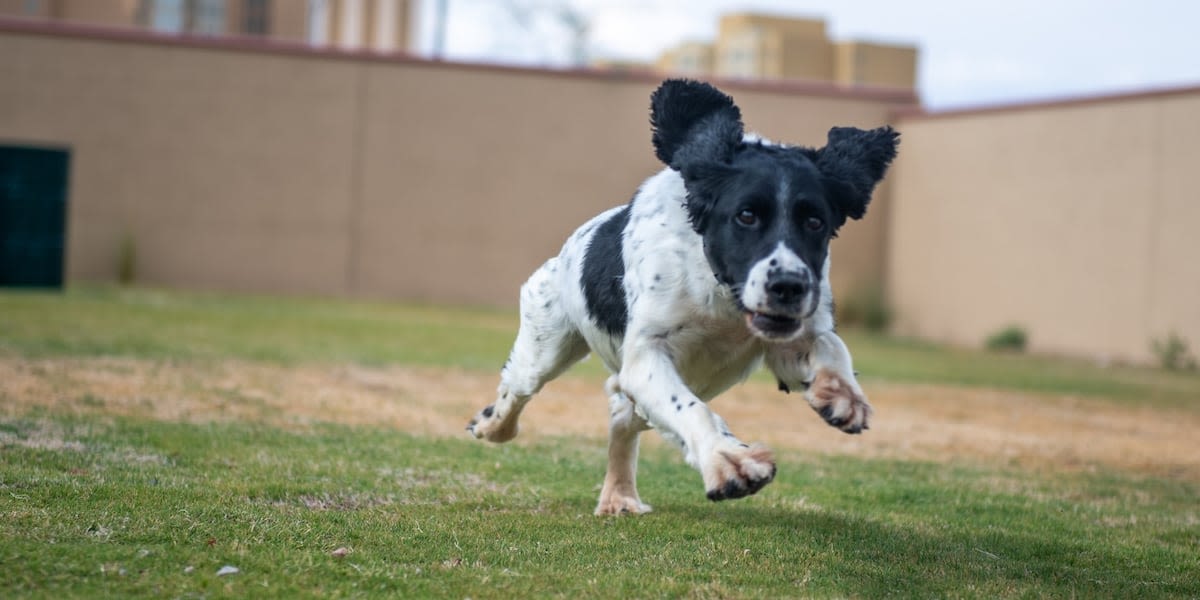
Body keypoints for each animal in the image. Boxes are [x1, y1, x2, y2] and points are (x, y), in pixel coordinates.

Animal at [463, 77, 897, 513]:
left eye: (815, 221)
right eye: (746, 215)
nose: (789, 285)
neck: (720, 291)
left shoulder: (790, 335)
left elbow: (829, 346)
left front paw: (840, 395)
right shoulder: (645, 357)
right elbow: (691, 410)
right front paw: (729, 462)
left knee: (622, 414)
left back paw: (619, 495)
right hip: (545, 342)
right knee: (517, 389)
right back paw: (491, 425)